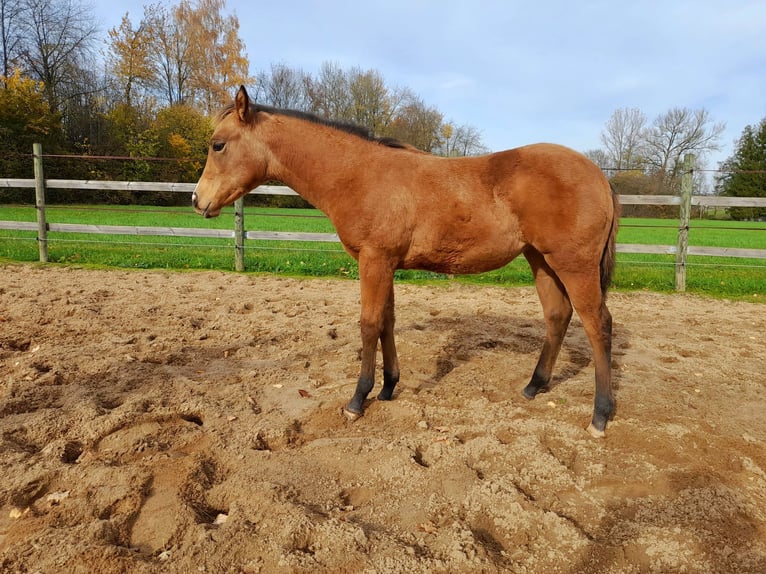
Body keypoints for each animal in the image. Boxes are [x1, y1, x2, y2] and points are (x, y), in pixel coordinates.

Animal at [193, 86, 620, 438]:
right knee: (558, 316)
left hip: (573, 265)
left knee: (597, 324)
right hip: (541, 260)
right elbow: (387, 321)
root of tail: (598, 174)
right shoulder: (385, 264)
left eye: (218, 145)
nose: (198, 200)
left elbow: (368, 324)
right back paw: (534, 386)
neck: (359, 174)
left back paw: (600, 415)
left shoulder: (374, 260)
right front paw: (387, 387)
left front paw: (357, 400)